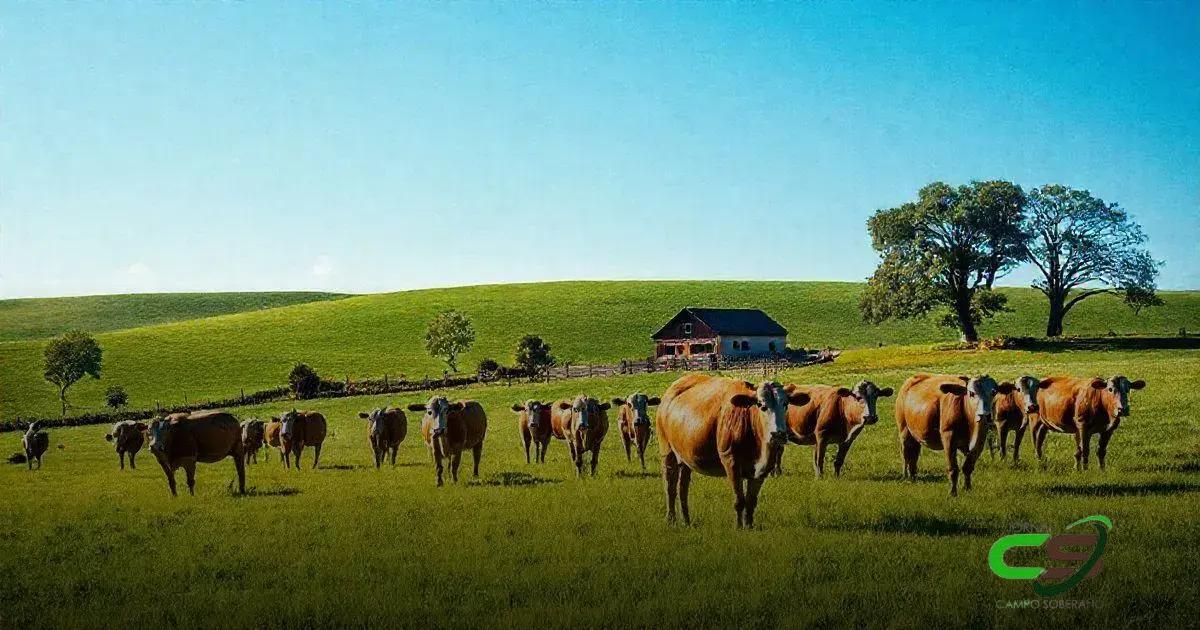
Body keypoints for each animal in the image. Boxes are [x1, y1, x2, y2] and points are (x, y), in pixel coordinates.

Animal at [656, 374, 808, 528]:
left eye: (785, 404)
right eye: (761, 405)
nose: (778, 434)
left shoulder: (763, 469)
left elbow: (751, 501)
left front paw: (749, 526)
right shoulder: (731, 462)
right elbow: (739, 500)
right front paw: (739, 527)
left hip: (685, 458)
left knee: (682, 489)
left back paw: (686, 520)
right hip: (667, 451)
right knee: (670, 486)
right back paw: (671, 519)